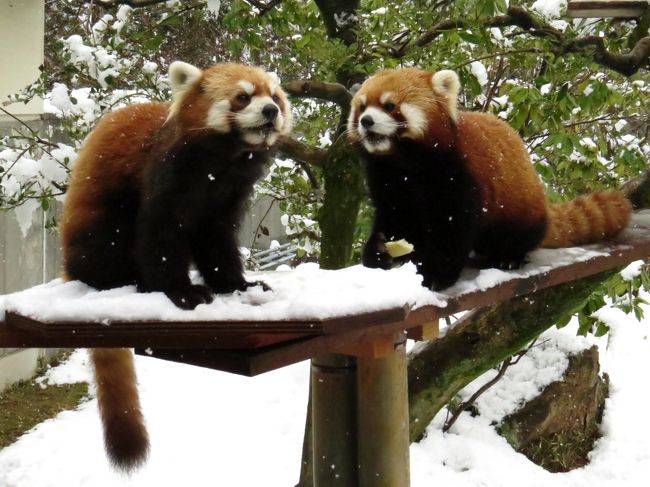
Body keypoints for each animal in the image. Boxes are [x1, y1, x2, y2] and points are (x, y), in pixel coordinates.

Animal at [59, 61, 292, 472]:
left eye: (275, 98)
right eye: (243, 97)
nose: (270, 111)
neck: (223, 162)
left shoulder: (226, 197)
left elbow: (217, 243)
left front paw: (238, 285)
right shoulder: (167, 178)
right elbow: (159, 237)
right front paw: (183, 292)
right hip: (96, 226)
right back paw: (130, 281)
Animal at [346, 68, 632, 290]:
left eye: (390, 106)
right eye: (361, 107)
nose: (366, 121)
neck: (405, 161)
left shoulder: (458, 175)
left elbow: (455, 228)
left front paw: (435, 273)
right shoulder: (389, 180)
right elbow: (396, 218)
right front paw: (379, 251)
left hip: (523, 207)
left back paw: (509, 256)